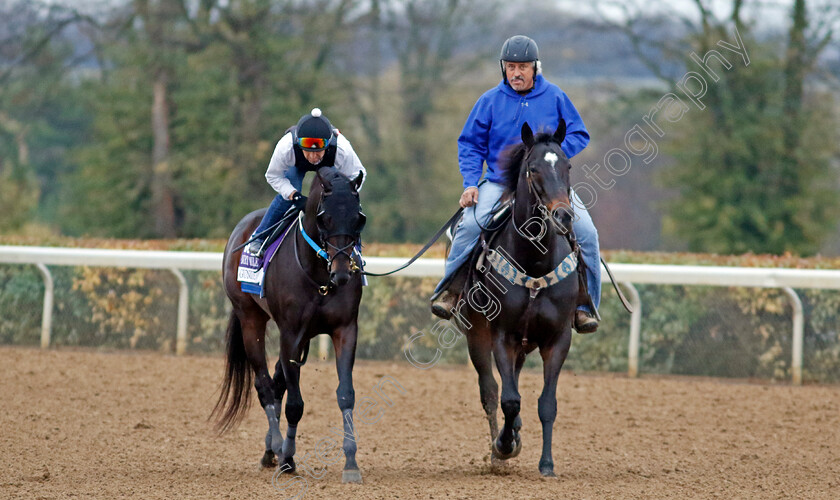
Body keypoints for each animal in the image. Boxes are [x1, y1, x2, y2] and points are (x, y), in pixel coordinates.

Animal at [213, 166, 364, 482]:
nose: (342, 274)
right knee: (264, 386)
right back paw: (277, 447)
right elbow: (295, 404)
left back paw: (271, 449)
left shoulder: (344, 330)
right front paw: (288, 458)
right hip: (250, 319)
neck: (319, 277)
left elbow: (346, 395)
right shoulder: (291, 335)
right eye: (324, 218)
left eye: (359, 218)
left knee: (276, 382)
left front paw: (351, 463)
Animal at [460, 121, 576, 476]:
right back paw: (499, 446)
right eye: (533, 168)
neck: (535, 264)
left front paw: (547, 464)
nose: (563, 216)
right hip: (476, 334)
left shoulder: (558, 338)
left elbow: (547, 403)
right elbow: (509, 399)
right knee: (490, 389)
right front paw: (503, 445)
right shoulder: (501, 334)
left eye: (567, 166)